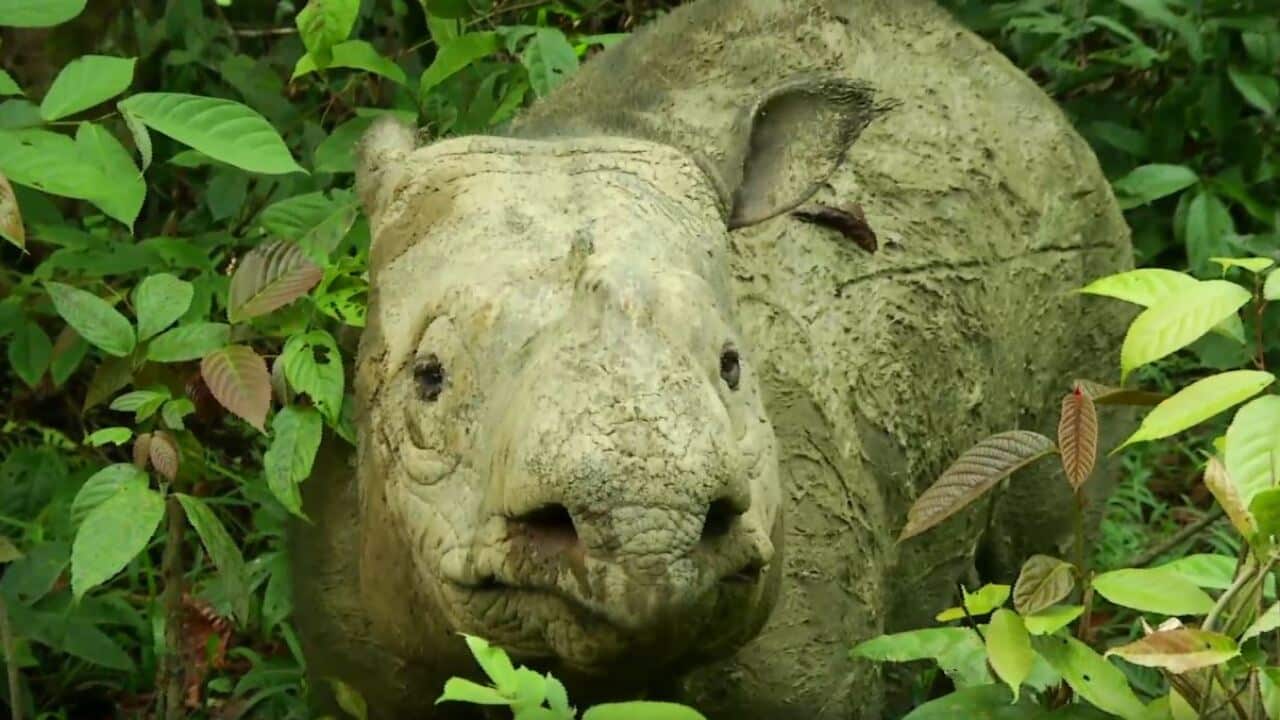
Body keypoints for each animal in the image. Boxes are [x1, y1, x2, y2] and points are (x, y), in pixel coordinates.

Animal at [291, 0, 1133, 717]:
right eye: (428, 379)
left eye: (733, 365)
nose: (646, 537)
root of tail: (990, 63)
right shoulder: (358, 662)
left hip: (1078, 229)